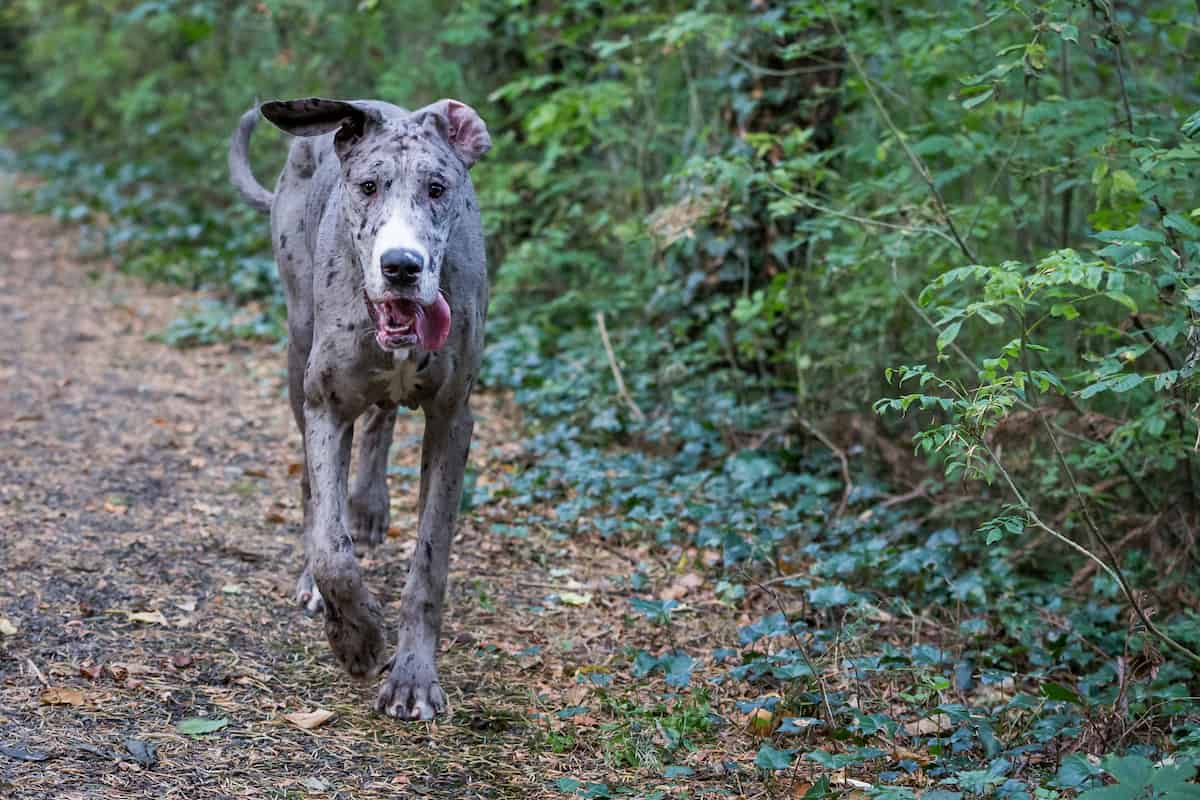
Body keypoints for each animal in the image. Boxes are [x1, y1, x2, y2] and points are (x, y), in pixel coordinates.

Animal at [226, 97, 489, 724]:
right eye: (368, 186)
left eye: (438, 188)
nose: (401, 266)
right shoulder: (325, 403)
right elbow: (332, 550)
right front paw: (358, 638)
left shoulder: (453, 420)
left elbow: (429, 564)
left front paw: (412, 676)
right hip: (298, 346)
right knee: (315, 494)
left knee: (382, 418)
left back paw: (368, 505)